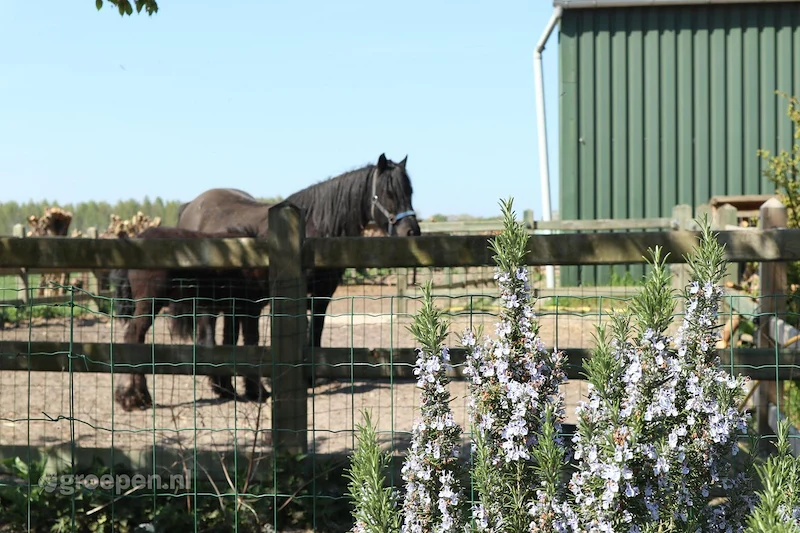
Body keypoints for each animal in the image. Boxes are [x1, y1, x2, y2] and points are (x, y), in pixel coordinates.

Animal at [110, 225, 271, 412]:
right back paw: (134, 397)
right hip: (150, 303)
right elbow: (251, 344)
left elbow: (228, 343)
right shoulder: (250, 309)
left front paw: (226, 389)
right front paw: (257, 392)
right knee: (134, 337)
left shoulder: (231, 309)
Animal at [176, 153, 421, 394]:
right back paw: (222, 388)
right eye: (388, 193)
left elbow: (316, 331)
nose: (412, 231)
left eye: (410, 191)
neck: (317, 227)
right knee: (207, 334)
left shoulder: (324, 293)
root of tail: (191, 207)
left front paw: (312, 377)